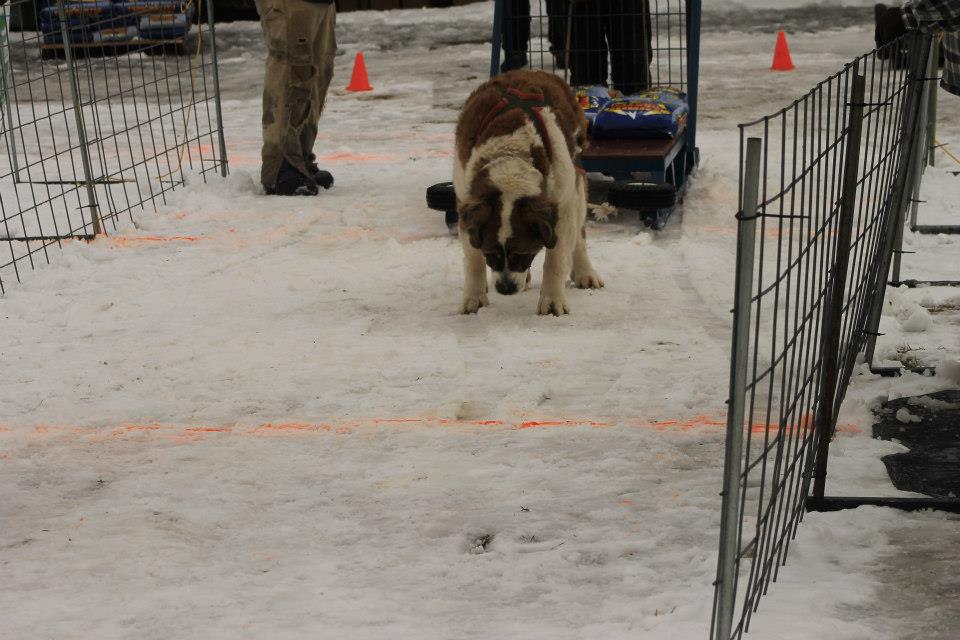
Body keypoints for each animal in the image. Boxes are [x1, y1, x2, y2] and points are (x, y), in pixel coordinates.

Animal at [454, 69, 604, 316]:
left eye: (522, 254)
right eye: (490, 254)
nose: (505, 288)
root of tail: (531, 70)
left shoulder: (562, 203)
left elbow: (556, 258)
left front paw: (552, 301)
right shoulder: (466, 199)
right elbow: (472, 257)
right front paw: (474, 296)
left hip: (577, 178)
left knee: (579, 234)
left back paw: (585, 272)